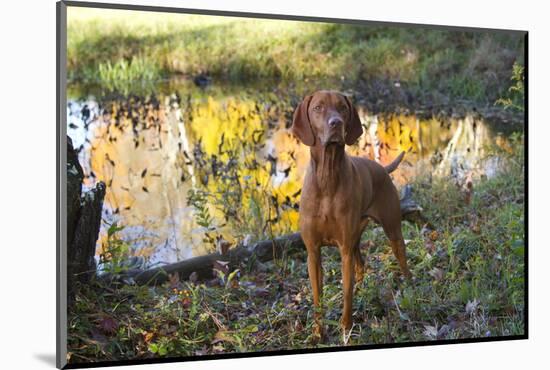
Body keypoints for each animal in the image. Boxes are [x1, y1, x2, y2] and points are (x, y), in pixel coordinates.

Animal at [292, 89, 412, 338]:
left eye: (342, 107)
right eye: (318, 108)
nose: (335, 123)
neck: (327, 177)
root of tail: (381, 168)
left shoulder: (344, 250)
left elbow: (347, 294)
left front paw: (346, 330)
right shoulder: (313, 252)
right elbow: (317, 297)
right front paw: (318, 333)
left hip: (391, 229)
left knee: (401, 258)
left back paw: (410, 285)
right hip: (357, 235)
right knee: (361, 264)